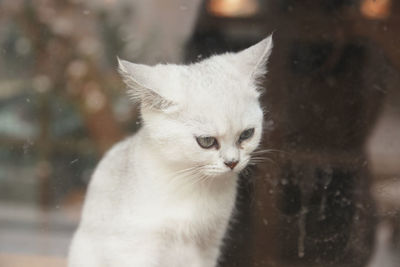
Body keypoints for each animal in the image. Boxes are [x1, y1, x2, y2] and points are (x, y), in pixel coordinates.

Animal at [69, 36, 272, 267]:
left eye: (246, 135)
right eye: (206, 141)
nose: (232, 162)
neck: (192, 185)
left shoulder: (209, 244)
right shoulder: (136, 249)